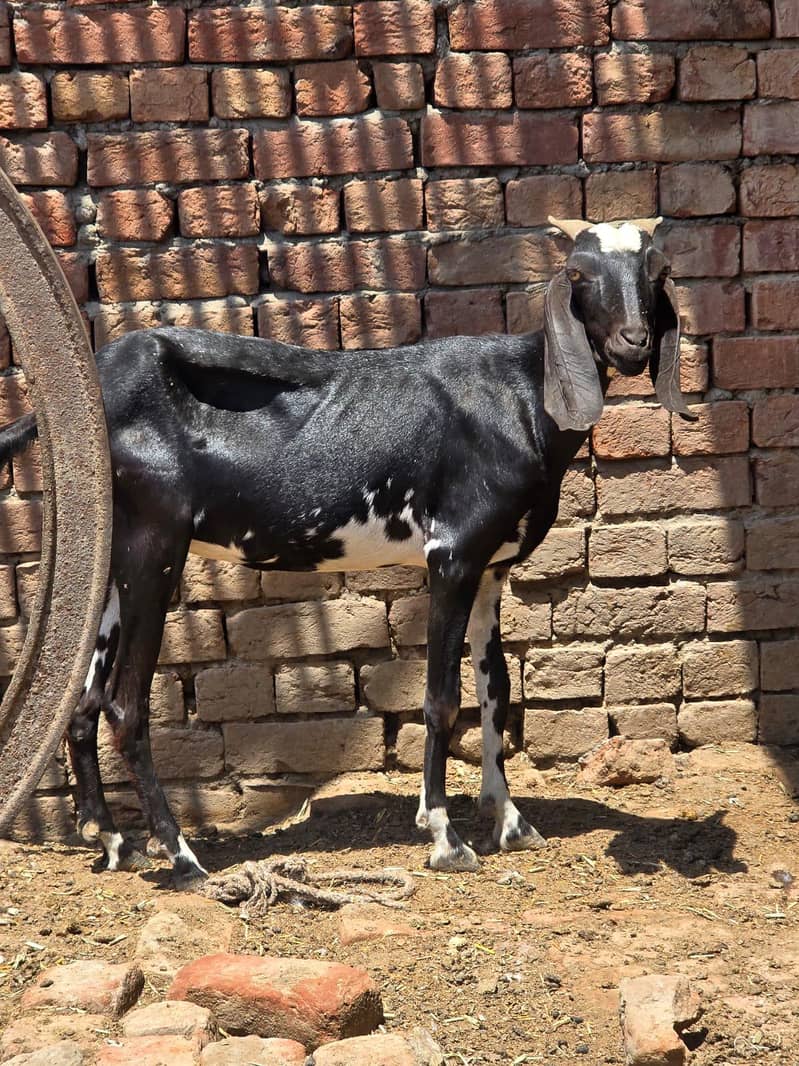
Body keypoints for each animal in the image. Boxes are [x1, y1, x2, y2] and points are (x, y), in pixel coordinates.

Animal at [0, 216, 691, 886]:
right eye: (578, 273)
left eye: (657, 271)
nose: (634, 342)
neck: (517, 396)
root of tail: (97, 382)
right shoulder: (453, 554)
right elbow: (442, 699)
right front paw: (446, 837)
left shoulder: (491, 568)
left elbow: (495, 690)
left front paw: (510, 821)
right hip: (154, 544)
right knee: (123, 705)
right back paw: (181, 857)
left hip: (113, 554)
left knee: (84, 702)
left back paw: (115, 842)